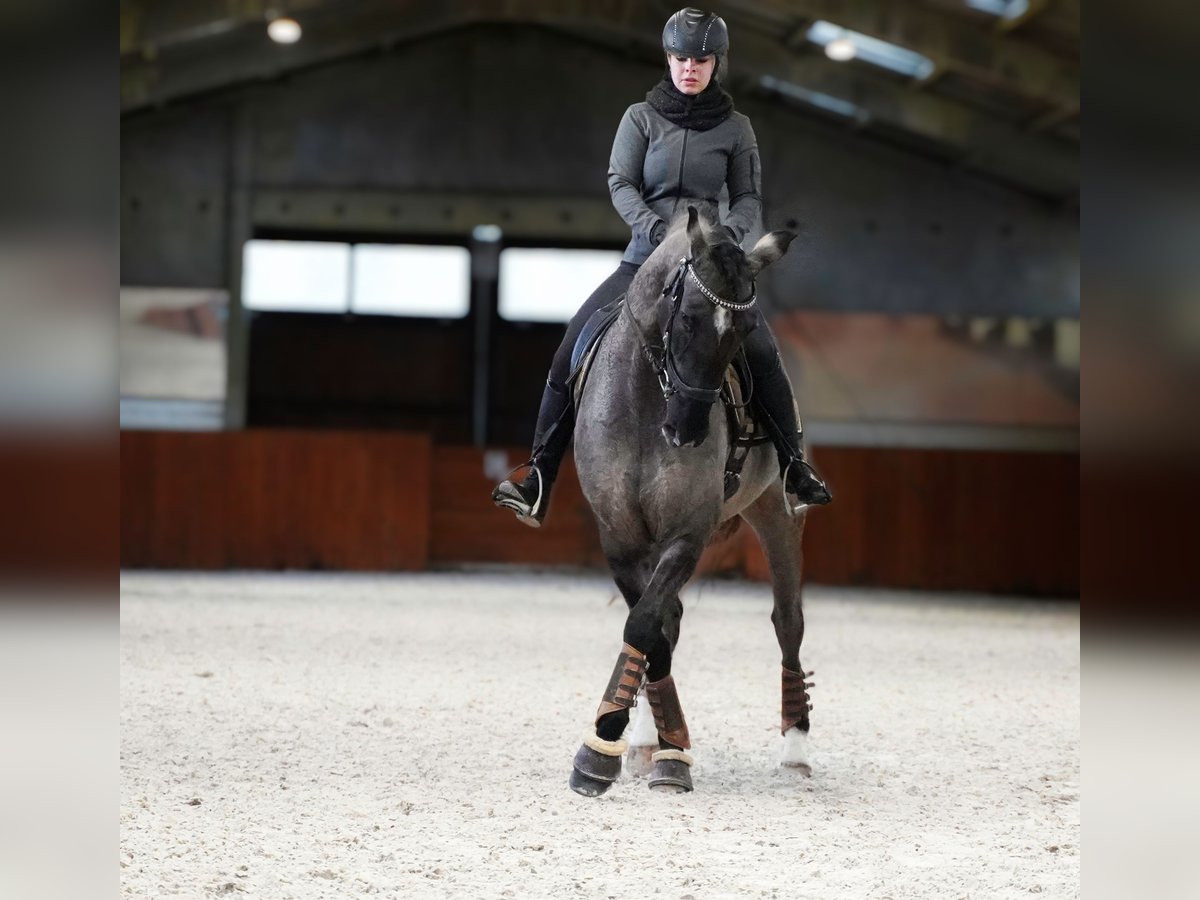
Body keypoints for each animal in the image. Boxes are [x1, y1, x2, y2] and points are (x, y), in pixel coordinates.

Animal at [568, 206, 816, 796]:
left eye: (744, 332)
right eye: (686, 320)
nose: (687, 431)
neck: (644, 402)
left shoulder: (687, 532)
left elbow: (644, 624)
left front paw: (607, 751)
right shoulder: (620, 537)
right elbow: (651, 628)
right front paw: (645, 746)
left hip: (777, 512)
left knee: (788, 620)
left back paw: (796, 751)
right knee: (671, 617)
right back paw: (644, 742)